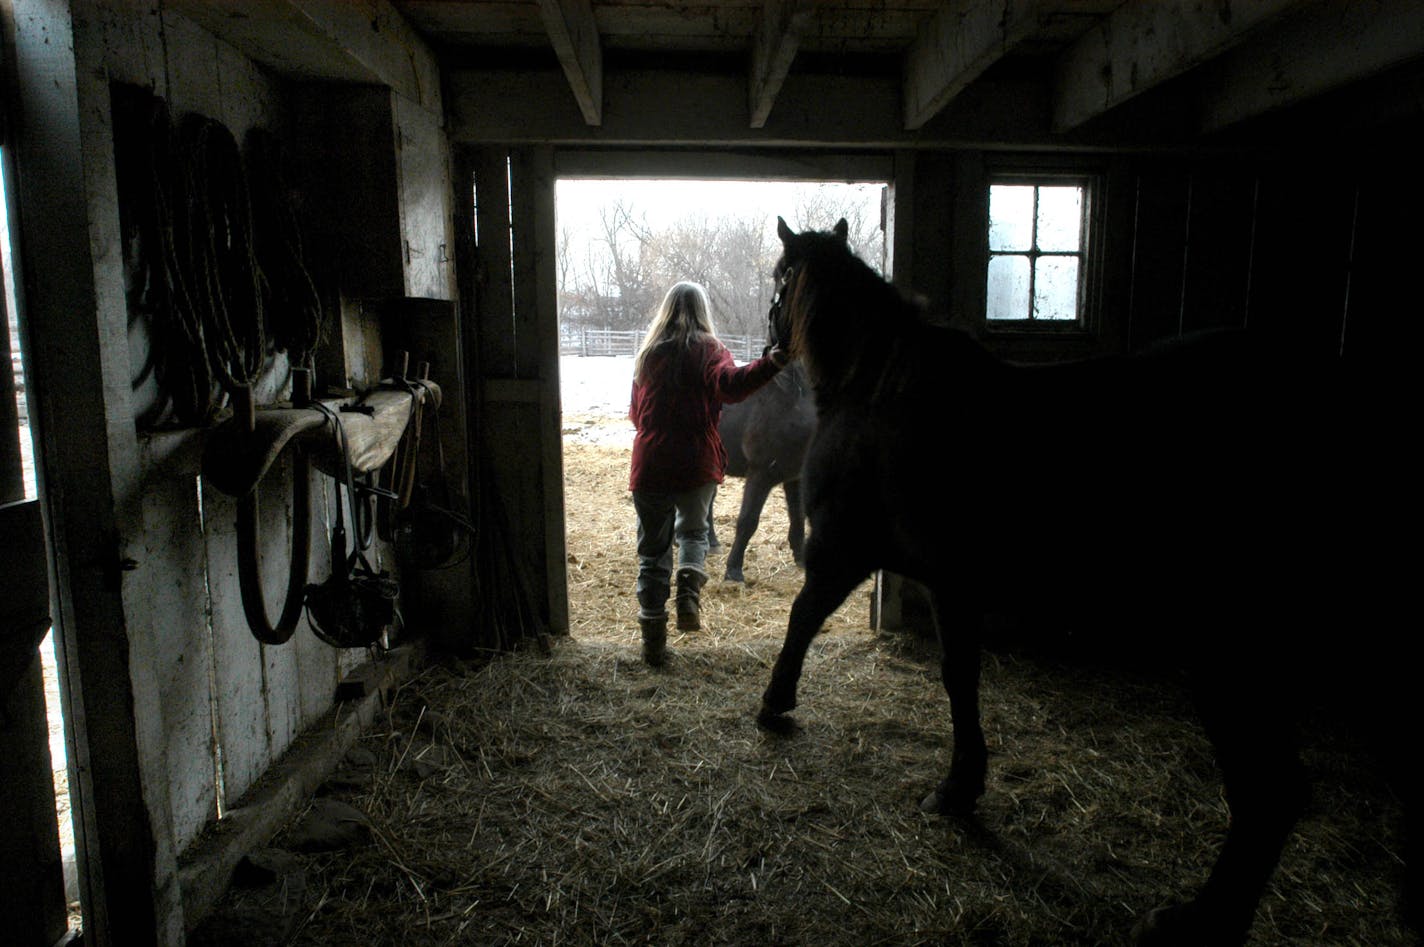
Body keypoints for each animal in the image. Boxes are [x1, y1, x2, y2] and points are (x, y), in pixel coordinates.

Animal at [703, 360, 808, 581]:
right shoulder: (760, 473)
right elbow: (748, 521)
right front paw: (733, 571)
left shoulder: (795, 477)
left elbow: (798, 516)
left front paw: (801, 558)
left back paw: (712, 542)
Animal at [757, 216, 1412, 945]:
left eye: (780, 279)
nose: (770, 343)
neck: (878, 388)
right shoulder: (953, 583)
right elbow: (961, 678)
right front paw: (961, 784)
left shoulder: (844, 551)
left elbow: (804, 620)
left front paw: (775, 702)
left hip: (1228, 656)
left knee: (1269, 792)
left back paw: (1199, 918)